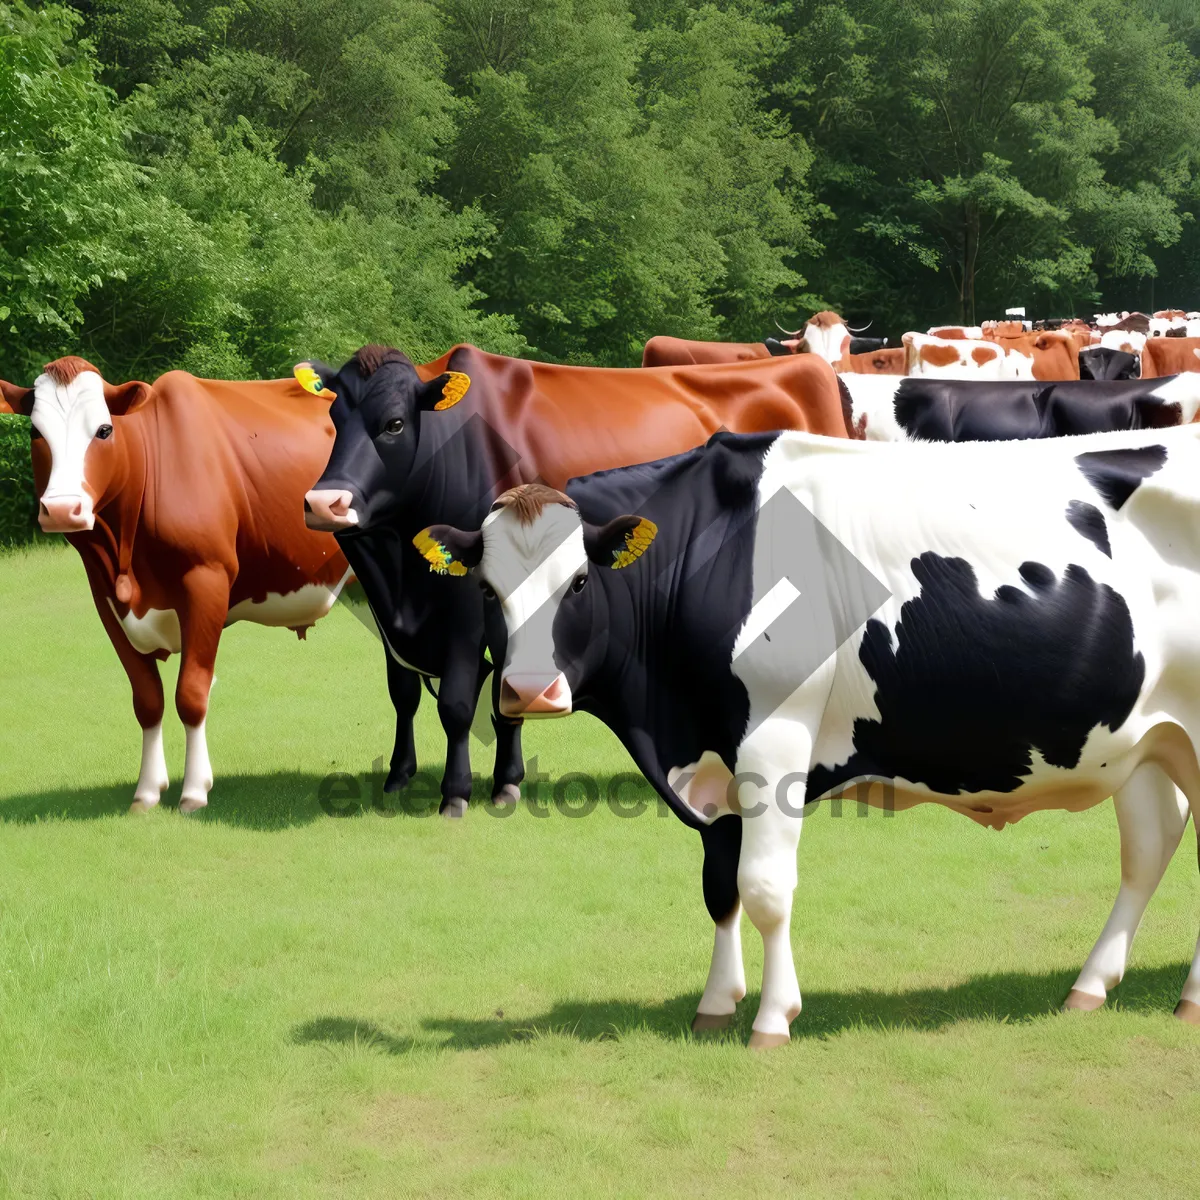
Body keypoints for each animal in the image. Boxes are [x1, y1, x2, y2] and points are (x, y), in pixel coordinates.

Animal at [0, 350, 393, 811]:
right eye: (34, 432)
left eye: (103, 430)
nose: (62, 509)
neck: (127, 561)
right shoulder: (104, 597)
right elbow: (147, 700)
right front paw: (147, 792)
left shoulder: (207, 581)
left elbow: (191, 693)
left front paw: (193, 791)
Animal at [300, 343, 854, 820]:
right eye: (333, 420)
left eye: (394, 424)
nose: (325, 502)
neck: (402, 576)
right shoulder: (397, 616)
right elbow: (407, 694)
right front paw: (403, 777)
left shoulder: (465, 611)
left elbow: (461, 704)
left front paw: (463, 792)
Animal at [417, 427, 1200, 1046]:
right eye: (486, 589)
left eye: (578, 582)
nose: (527, 690)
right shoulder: (714, 762)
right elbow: (720, 887)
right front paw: (715, 1006)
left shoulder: (775, 739)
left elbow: (764, 887)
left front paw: (771, 1019)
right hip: (1145, 742)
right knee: (1150, 846)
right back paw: (1090, 986)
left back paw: (1185, 998)